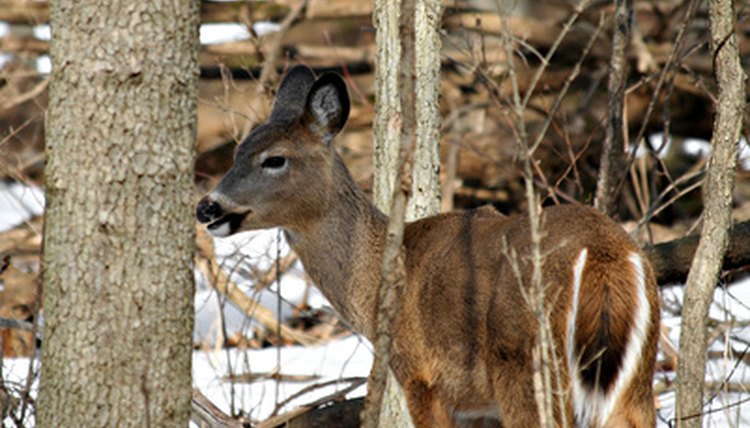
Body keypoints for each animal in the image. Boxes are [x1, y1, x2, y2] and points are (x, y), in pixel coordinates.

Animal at [197, 65, 660, 426]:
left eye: (275, 159)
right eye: (236, 152)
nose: (207, 207)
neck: (376, 282)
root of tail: (606, 258)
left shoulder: (421, 378)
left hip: (529, 369)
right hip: (636, 382)